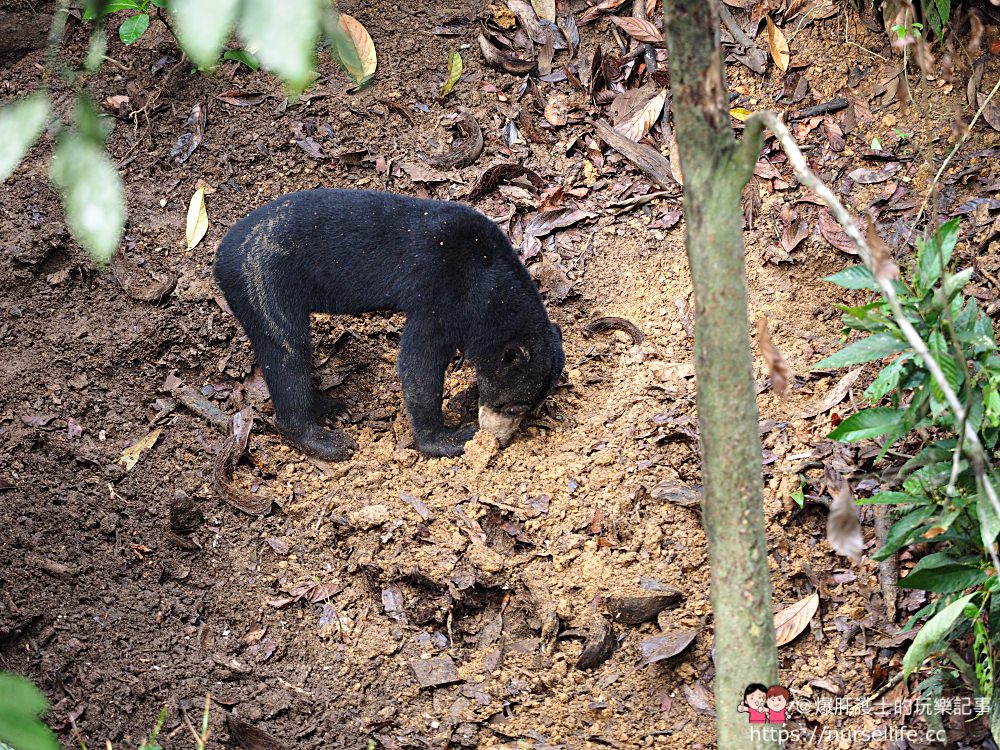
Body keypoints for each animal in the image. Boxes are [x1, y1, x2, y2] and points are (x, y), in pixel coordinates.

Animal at [212, 189, 564, 458]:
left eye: (526, 409)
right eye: (512, 407)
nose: (499, 440)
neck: (489, 277)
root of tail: (219, 258)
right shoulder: (441, 291)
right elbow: (418, 364)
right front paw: (451, 439)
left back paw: (333, 408)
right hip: (263, 279)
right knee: (286, 350)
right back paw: (327, 441)